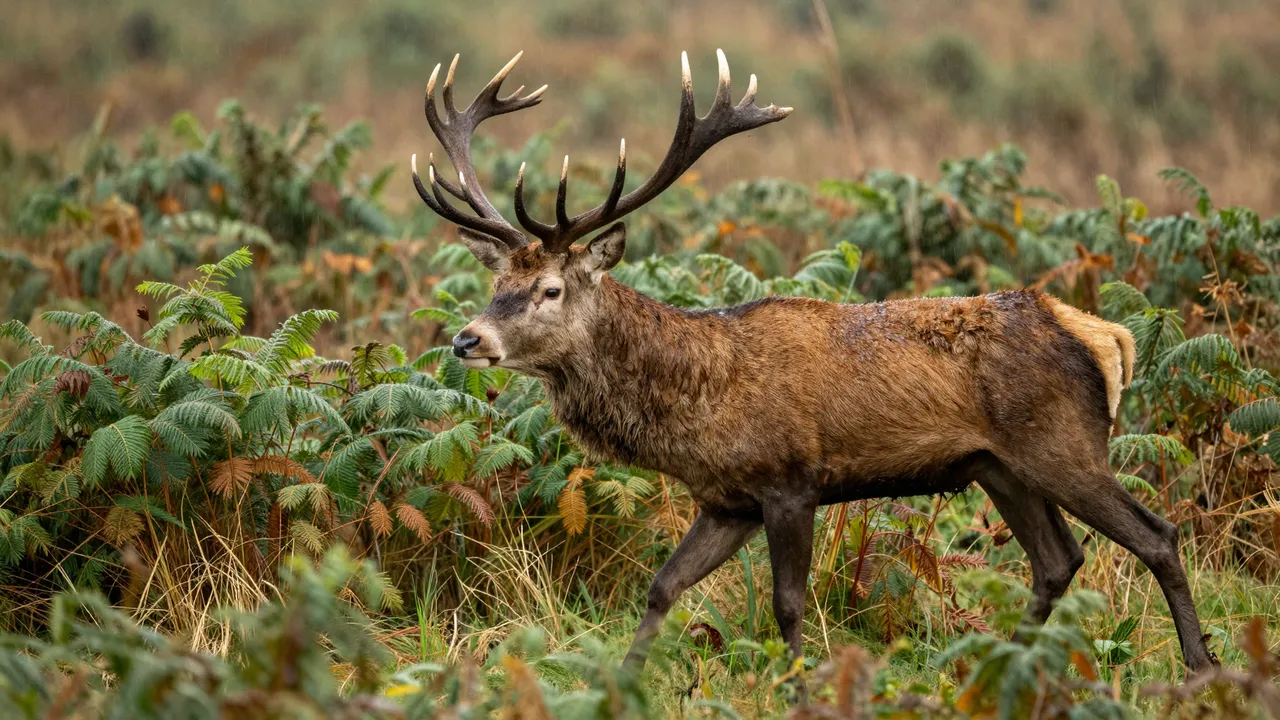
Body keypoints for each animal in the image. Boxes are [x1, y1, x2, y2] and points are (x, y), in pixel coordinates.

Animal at [408, 50, 1217, 685]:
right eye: (495, 281)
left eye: (549, 289)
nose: (467, 340)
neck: (700, 404)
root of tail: (1102, 333)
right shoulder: (726, 500)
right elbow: (661, 587)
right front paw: (623, 681)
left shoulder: (791, 480)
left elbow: (787, 604)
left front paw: (798, 685)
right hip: (1001, 466)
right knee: (1058, 559)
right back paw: (1001, 669)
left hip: (1064, 444)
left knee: (1158, 534)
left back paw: (1201, 666)